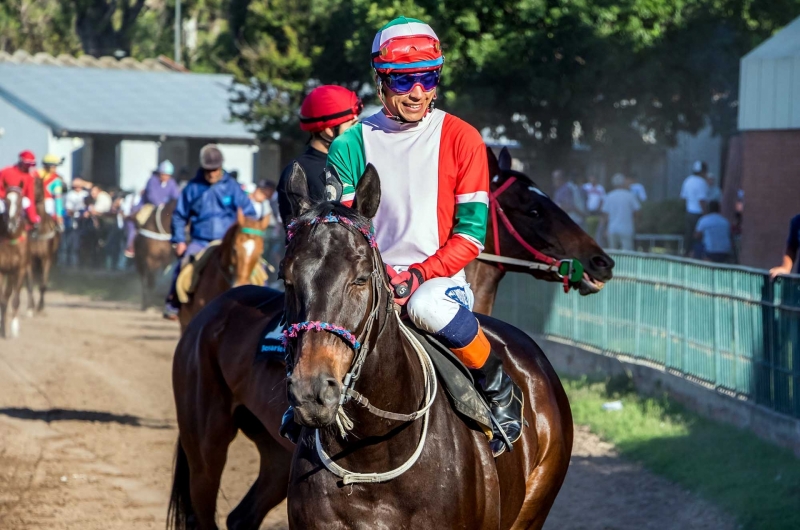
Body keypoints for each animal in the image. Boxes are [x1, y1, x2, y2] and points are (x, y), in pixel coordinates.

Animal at [26, 175, 61, 312]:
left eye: (39, 185)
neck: (38, 230)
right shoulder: (30, 259)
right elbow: (30, 283)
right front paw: (31, 306)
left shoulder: (46, 258)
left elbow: (43, 284)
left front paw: (40, 307)